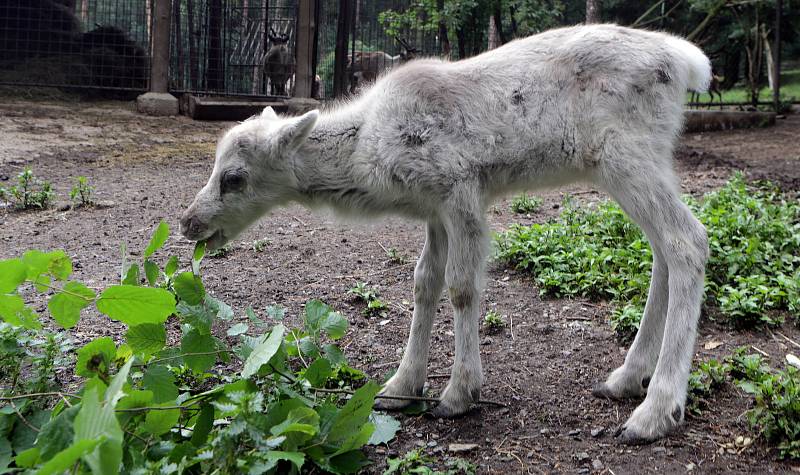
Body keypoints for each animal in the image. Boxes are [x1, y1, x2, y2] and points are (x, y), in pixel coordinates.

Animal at [183, 24, 712, 444]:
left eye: (234, 178)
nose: (190, 223)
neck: (370, 153)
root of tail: (687, 61)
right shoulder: (433, 209)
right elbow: (423, 282)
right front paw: (400, 387)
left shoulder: (461, 191)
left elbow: (461, 286)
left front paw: (458, 394)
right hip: (643, 160)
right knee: (662, 250)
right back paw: (625, 378)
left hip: (625, 154)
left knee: (688, 241)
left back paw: (655, 412)